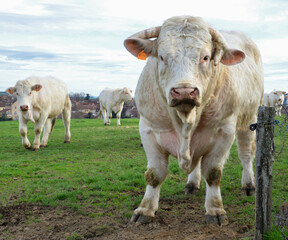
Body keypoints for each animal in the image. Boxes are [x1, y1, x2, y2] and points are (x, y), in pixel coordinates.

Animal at [124, 15, 264, 225]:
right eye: (162, 57)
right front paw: (145, 209)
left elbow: (213, 173)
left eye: (205, 57)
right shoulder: (149, 129)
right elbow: (155, 174)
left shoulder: (224, 131)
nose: (184, 91)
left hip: (249, 119)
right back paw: (192, 184)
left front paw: (215, 209)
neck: (184, 119)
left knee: (246, 154)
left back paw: (248, 185)